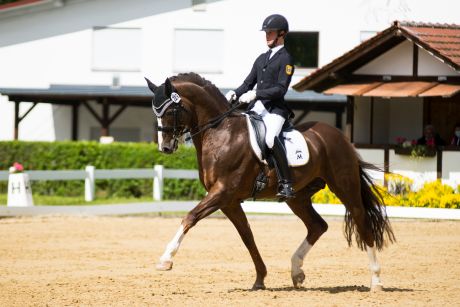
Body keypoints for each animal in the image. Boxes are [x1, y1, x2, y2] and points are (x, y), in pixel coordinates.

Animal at [145, 72, 396, 292]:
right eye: (155, 112)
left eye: (171, 110)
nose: (165, 147)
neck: (221, 133)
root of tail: (340, 136)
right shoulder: (229, 201)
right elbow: (247, 236)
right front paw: (260, 279)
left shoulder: (222, 192)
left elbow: (190, 217)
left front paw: (165, 260)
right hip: (298, 197)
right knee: (317, 226)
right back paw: (297, 271)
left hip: (344, 186)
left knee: (361, 220)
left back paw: (376, 281)